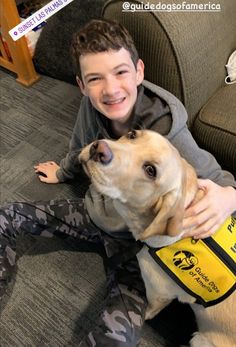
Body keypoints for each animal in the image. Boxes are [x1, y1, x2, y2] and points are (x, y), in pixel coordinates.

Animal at [79, 130, 236, 347]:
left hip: (201, 339)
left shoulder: (159, 293)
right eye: (132, 134)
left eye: (150, 171)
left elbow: (150, 311)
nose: (98, 148)